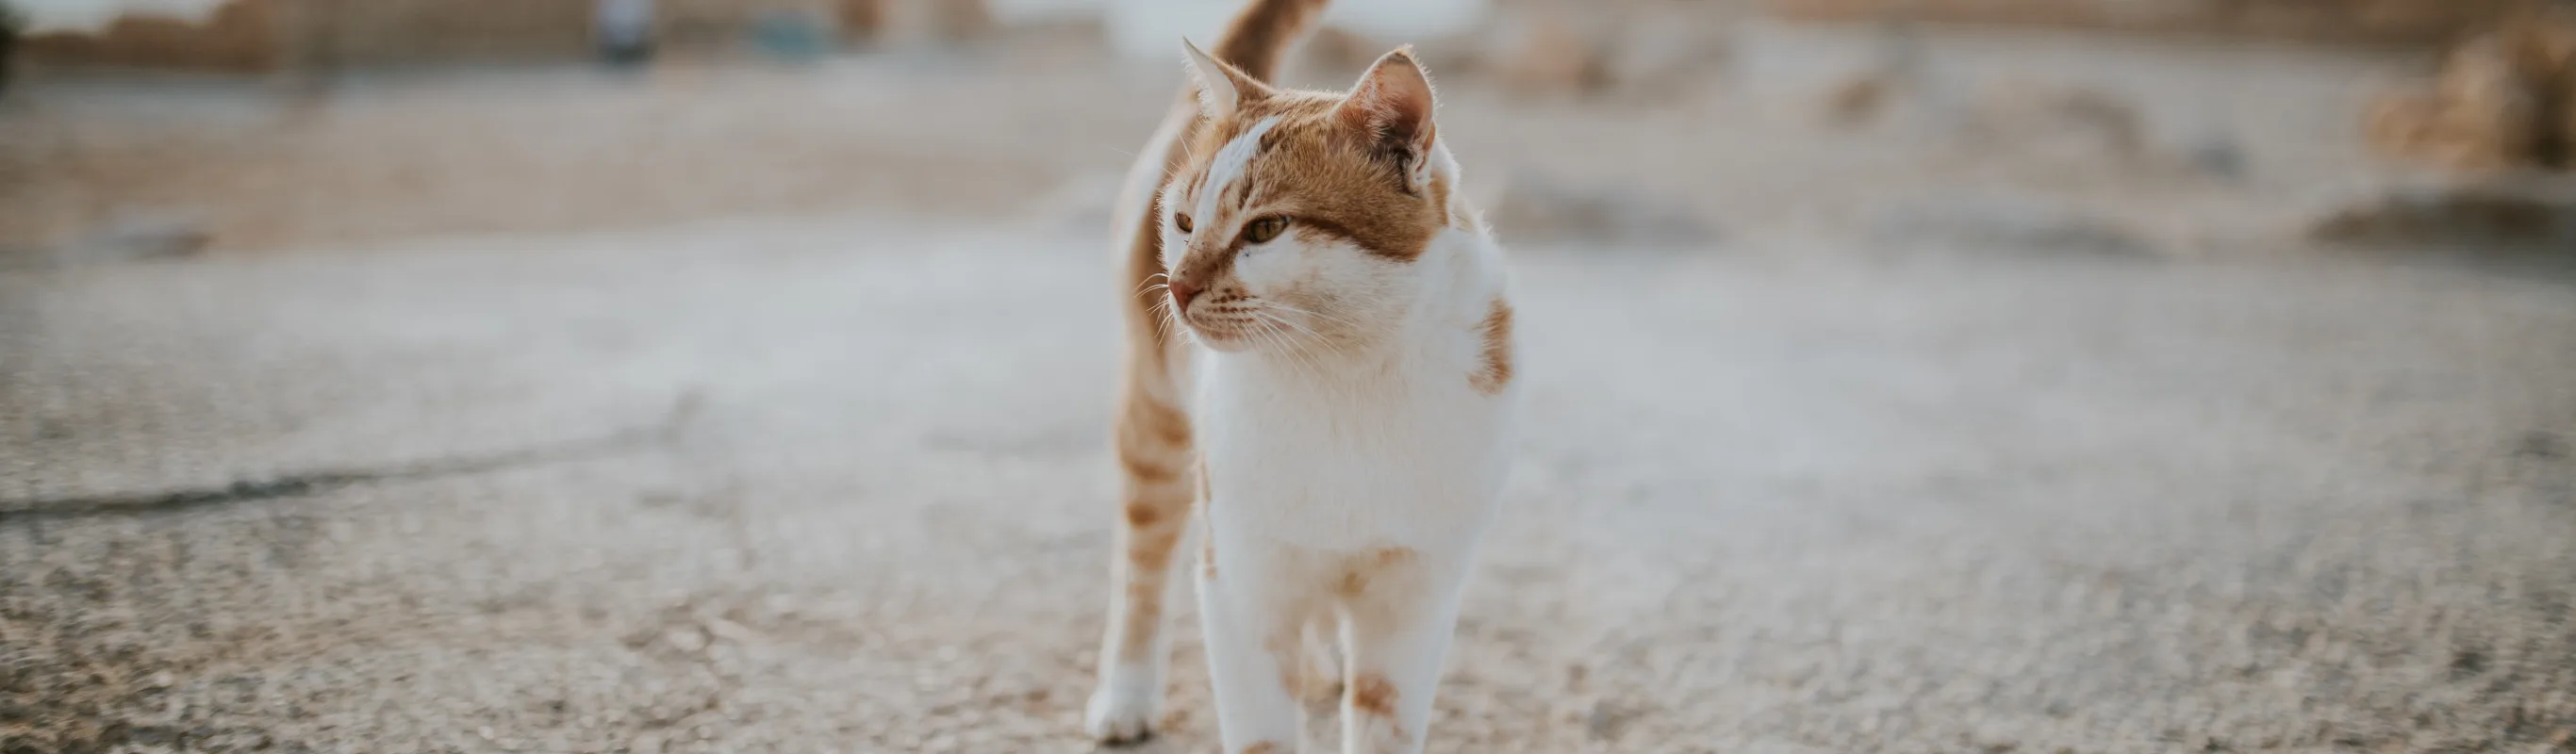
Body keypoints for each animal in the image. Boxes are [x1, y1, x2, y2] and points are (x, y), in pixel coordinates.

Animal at [1082, 1, 1514, 751]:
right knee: (1141, 566)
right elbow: (1262, 725)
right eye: (1185, 221)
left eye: (1266, 230)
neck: (1345, 378)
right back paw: (1126, 696)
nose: (1179, 287)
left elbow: (1383, 720)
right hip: (1158, 428)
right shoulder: (1240, 580)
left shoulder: (1414, 595)